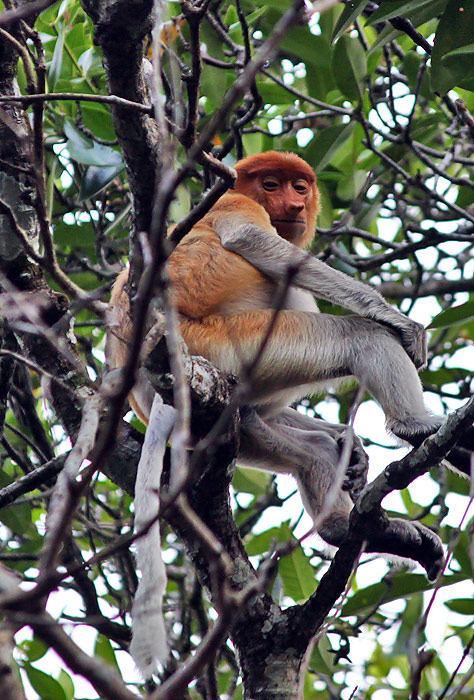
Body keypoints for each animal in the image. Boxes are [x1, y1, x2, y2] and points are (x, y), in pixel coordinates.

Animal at [108, 151, 474, 659]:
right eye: (271, 184)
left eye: (299, 187)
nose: (294, 205)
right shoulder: (232, 201)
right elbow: (253, 241)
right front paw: (395, 319)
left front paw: (351, 446)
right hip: (238, 341)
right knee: (356, 337)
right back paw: (414, 427)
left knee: (293, 441)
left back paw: (348, 504)